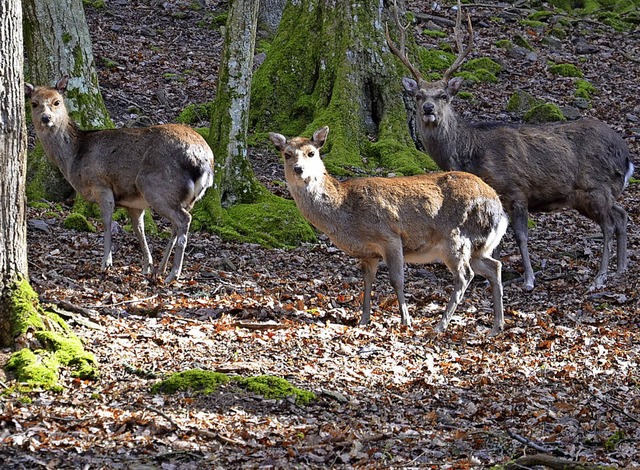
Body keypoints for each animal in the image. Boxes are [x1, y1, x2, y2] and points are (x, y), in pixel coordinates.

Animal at [25, 77, 215, 282]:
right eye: (34, 103)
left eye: (56, 102)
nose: (46, 118)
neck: (75, 157)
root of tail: (204, 161)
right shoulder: (134, 203)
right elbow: (139, 229)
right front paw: (147, 266)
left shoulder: (100, 184)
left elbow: (107, 222)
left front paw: (106, 264)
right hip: (186, 198)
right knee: (176, 225)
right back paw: (161, 269)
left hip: (155, 186)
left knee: (183, 220)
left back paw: (173, 273)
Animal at [270, 126, 510, 336]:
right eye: (287, 154)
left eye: (311, 153)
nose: (299, 169)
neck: (345, 213)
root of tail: (499, 210)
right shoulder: (368, 253)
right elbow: (367, 281)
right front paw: (363, 319)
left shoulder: (389, 236)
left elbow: (396, 279)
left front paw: (406, 320)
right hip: (477, 247)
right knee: (494, 267)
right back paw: (497, 326)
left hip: (456, 237)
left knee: (465, 275)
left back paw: (440, 325)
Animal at [384, 2, 636, 290]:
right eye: (418, 95)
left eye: (444, 95)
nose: (428, 108)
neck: (471, 152)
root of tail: (626, 156)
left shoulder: (517, 189)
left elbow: (520, 235)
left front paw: (529, 279)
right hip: (591, 195)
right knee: (621, 215)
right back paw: (620, 268)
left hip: (596, 187)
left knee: (608, 224)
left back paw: (600, 277)